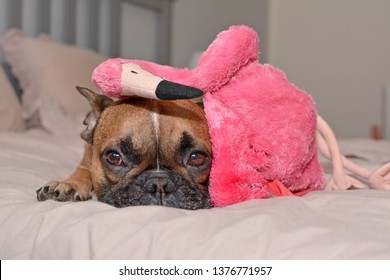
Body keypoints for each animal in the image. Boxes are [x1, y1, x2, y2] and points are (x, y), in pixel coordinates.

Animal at [37, 87, 210, 210]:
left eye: (196, 158)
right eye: (114, 157)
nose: (159, 184)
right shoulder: (86, 160)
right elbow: (83, 171)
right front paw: (69, 185)